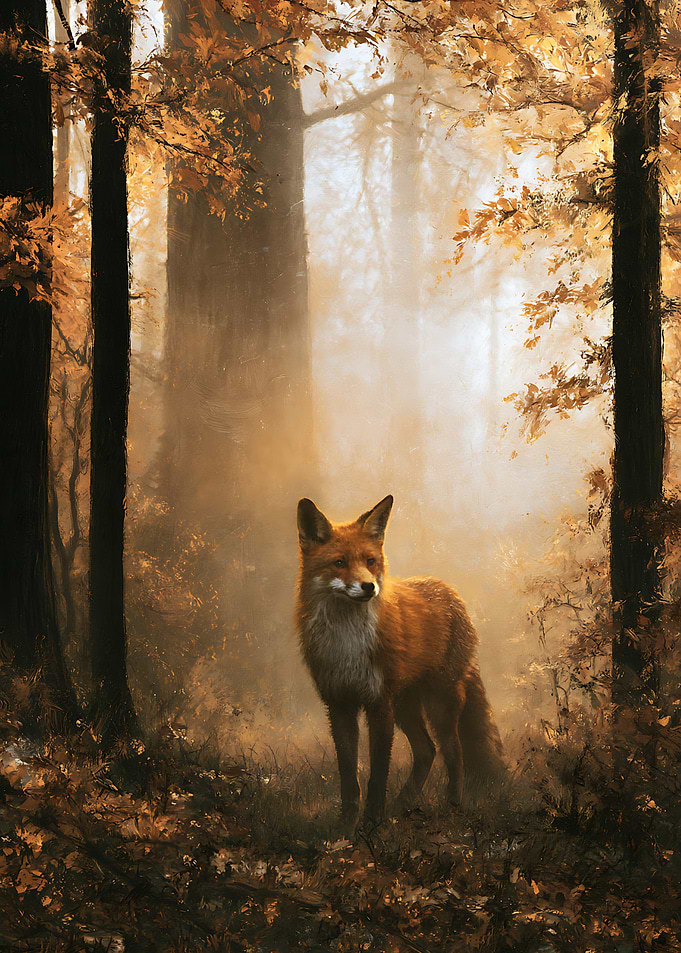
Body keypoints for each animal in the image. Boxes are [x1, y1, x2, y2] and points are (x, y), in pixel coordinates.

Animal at [295, 494, 504, 828]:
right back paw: (402, 805)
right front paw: (346, 827)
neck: (347, 644)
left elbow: (377, 775)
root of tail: (452, 593)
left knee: (454, 753)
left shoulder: (379, 703)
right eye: (339, 563)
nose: (369, 586)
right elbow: (348, 777)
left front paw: (372, 825)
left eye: (370, 561)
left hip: (439, 703)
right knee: (427, 751)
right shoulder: (339, 703)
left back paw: (452, 807)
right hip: (406, 705)